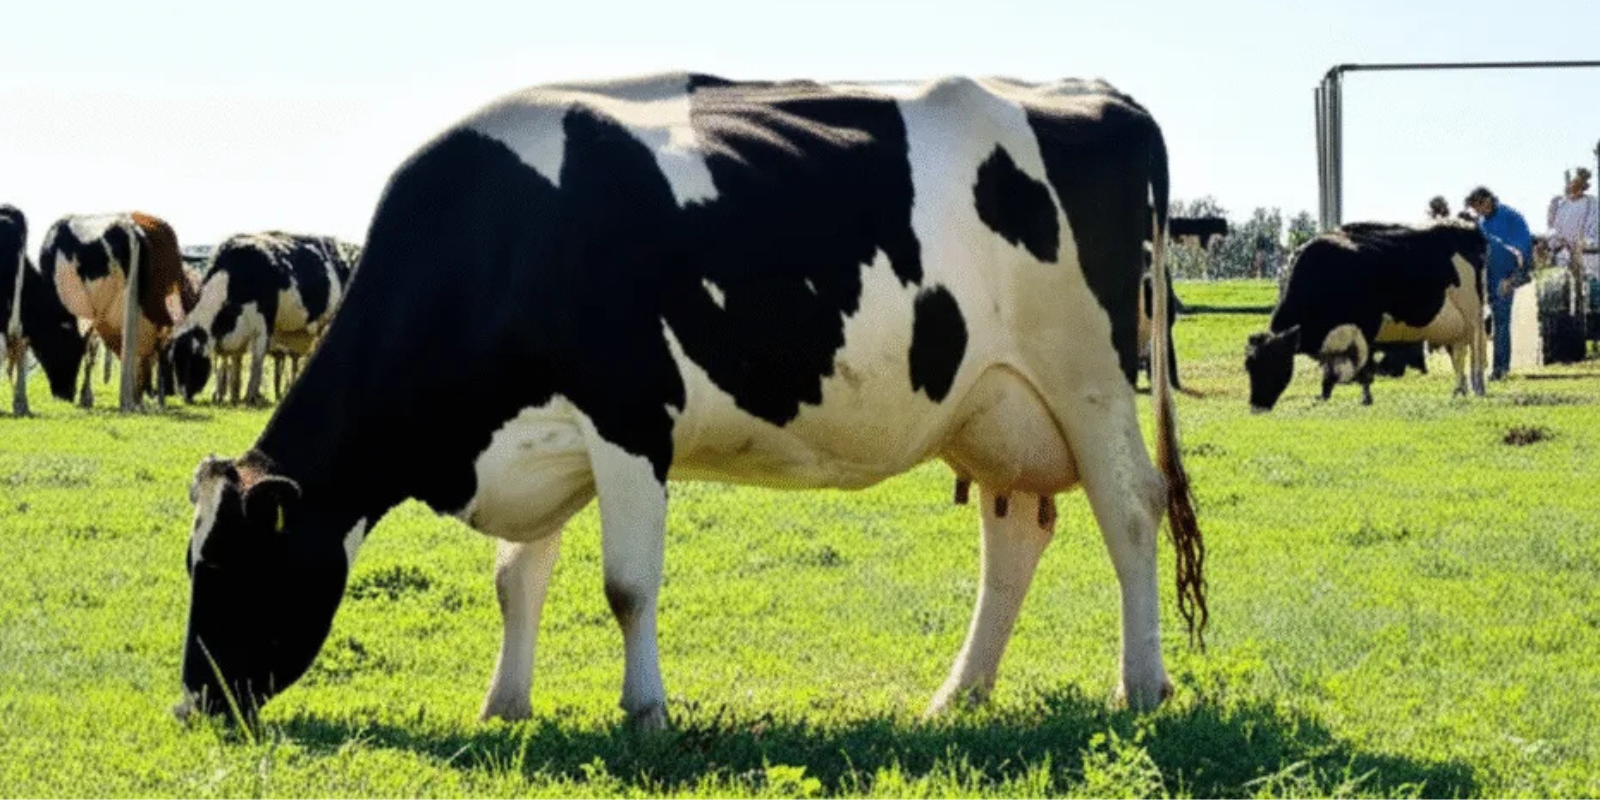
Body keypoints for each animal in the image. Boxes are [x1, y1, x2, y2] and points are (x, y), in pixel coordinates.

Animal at [37, 211, 198, 407]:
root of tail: (130, 227)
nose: (63, 394)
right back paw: (138, 397)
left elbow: (90, 347)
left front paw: (86, 396)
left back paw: (136, 398)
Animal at [169, 232, 360, 405]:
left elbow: (256, 360)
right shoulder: (236, 332)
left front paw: (250, 397)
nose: (184, 395)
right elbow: (235, 362)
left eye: (191, 362)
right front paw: (233, 397)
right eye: (175, 361)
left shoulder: (264, 323)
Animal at [1245, 219, 1488, 410]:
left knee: (1475, 353)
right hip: (1455, 327)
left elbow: (1361, 370)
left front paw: (1365, 398)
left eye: (1276, 363)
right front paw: (1324, 395)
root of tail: (1465, 227)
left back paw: (1478, 387)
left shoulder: (1366, 328)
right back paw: (1459, 390)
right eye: (1249, 366)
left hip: (1473, 315)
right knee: (1458, 353)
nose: (1257, 406)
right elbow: (1329, 370)